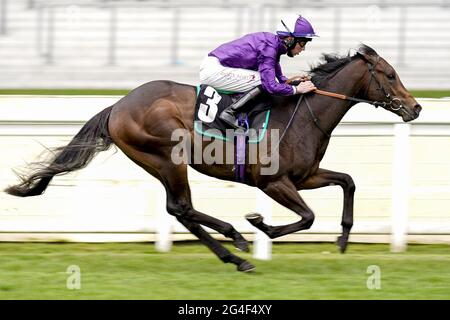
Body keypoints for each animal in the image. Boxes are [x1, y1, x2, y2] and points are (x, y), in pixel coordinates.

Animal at [5, 43, 422, 272]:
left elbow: (347, 182)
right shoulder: (272, 181)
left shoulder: (305, 176)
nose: (416, 108)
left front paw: (343, 239)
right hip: (166, 157)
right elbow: (306, 217)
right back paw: (236, 240)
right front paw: (261, 225)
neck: (303, 113)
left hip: (159, 162)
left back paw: (235, 256)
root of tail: (118, 105)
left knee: (180, 211)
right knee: (183, 208)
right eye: (389, 74)